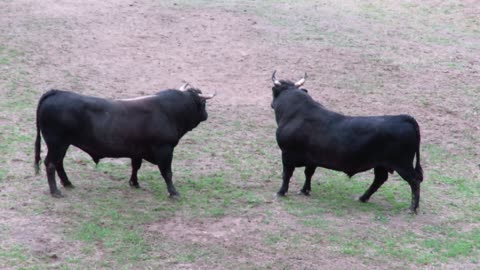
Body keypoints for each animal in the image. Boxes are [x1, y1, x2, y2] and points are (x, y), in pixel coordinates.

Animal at [36, 83, 218, 197]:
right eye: (203, 103)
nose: (206, 115)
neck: (168, 111)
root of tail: (57, 92)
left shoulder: (137, 150)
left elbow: (135, 166)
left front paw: (134, 183)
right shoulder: (164, 149)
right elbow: (167, 172)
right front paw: (173, 192)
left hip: (61, 144)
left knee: (58, 163)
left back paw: (67, 183)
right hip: (57, 143)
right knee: (51, 163)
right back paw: (56, 192)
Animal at [270, 71, 424, 213]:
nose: (272, 104)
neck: (296, 113)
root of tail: (403, 118)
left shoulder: (287, 154)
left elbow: (287, 174)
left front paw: (281, 192)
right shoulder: (312, 159)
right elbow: (308, 173)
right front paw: (305, 190)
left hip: (402, 164)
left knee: (414, 181)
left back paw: (412, 208)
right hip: (382, 164)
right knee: (380, 179)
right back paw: (363, 198)